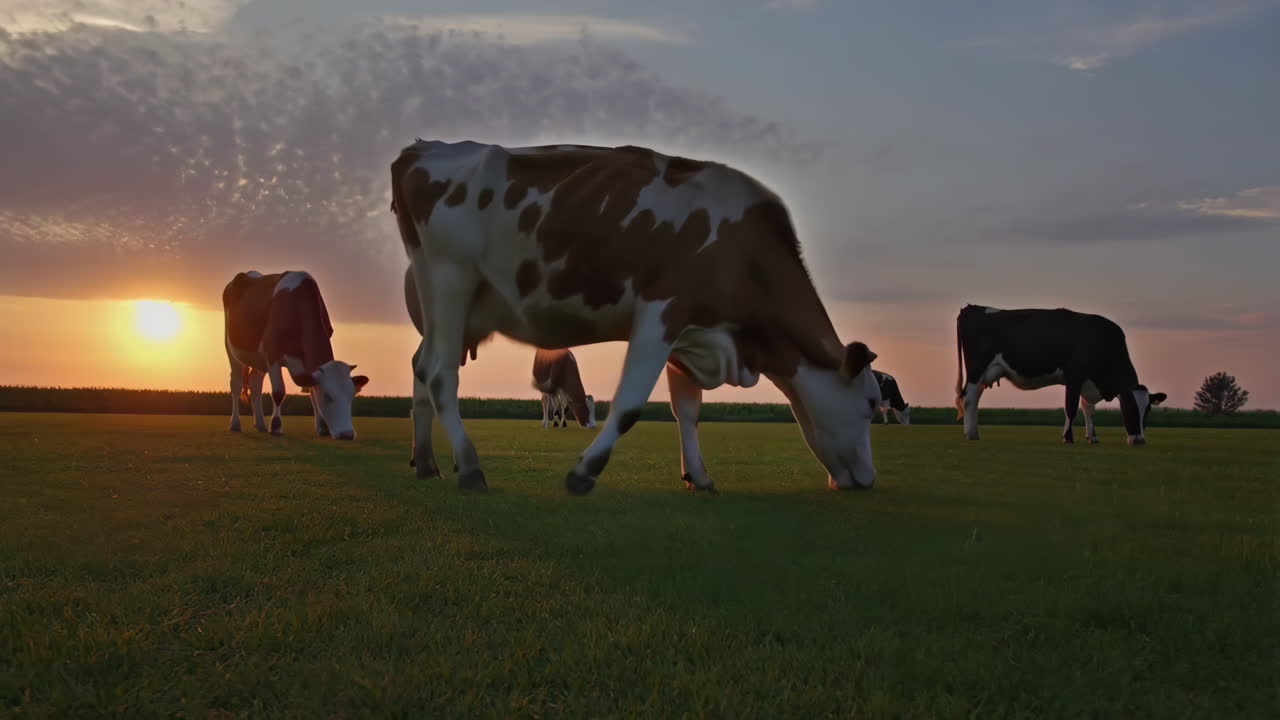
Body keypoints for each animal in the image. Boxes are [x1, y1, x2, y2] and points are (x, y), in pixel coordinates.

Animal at [223, 271, 368, 440]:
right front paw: (276, 427)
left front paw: (321, 427)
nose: (347, 434)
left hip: (259, 361)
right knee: (236, 384)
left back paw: (260, 424)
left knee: (255, 384)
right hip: (231, 349)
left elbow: (312, 391)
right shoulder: (272, 354)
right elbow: (279, 392)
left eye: (351, 395)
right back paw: (235, 424)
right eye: (327, 396)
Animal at [390, 139, 882, 494]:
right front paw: (583, 473)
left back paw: (425, 462)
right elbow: (628, 405)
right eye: (872, 405)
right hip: (450, 278)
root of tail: (422, 149)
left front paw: (698, 476)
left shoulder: (692, 334)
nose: (870, 479)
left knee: (421, 369)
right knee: (440, 374)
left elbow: (688, 412)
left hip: (449, 307)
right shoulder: (661, 312)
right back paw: (470, 468)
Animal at [954, 304, 1166, 445]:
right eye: (1129, 406)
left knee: (974, 396)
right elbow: (1070, 408)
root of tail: (972, 307)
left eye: (1148, 410)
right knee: (969, 397)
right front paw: (1067, 437)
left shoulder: (1087, 382)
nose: (1138, 440)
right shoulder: (1074, 376)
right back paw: (971, 434)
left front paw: (1092, 437)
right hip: (976, 369)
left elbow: (1088, 409)